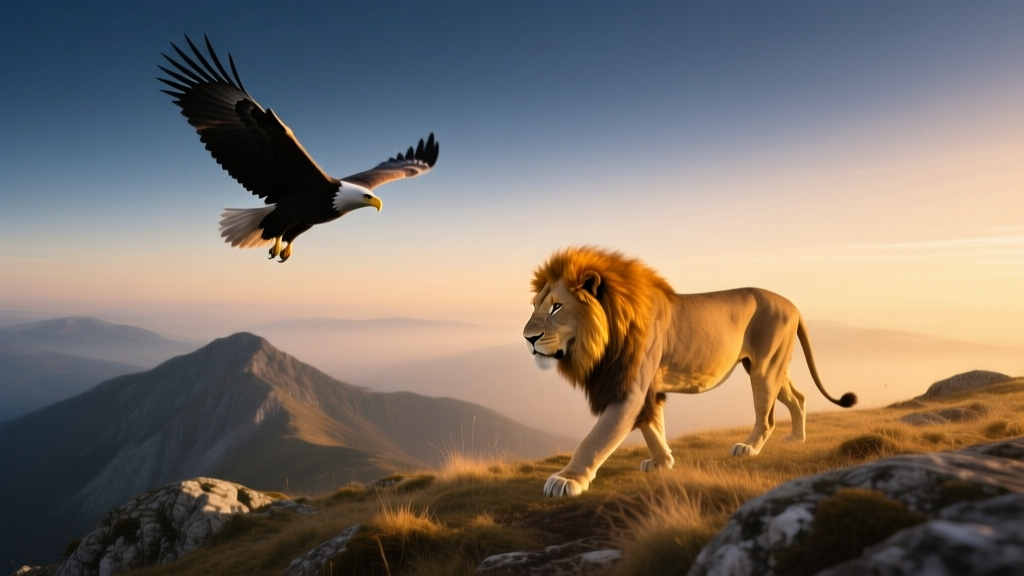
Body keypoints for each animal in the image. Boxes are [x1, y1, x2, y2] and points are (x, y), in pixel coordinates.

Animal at [524, 246, 857, 497]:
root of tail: (794, 306)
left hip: (764, 369)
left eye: (556, 307)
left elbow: (595, 440)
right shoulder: (647, 387)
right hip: (770, 366)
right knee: (797, 397)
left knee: (767, 417)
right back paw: (797, 438)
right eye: (535, 305)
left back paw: (748, 448)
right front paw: (662, 461)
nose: (528, 338)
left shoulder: (629, 389)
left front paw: (567, 479)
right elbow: (652, 426)